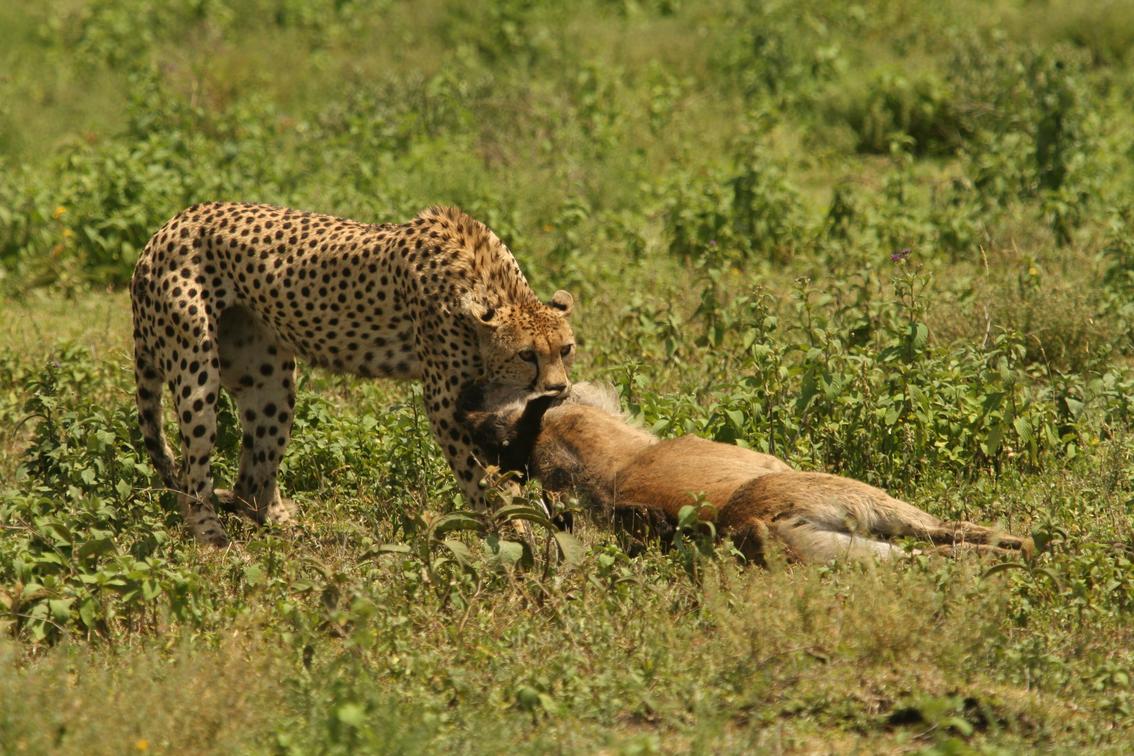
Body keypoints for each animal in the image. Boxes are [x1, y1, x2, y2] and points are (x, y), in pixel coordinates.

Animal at [130, 201, 575, 547]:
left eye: (566, 349)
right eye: (526, 355)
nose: (558, 389)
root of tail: (170, 224)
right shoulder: (446, 405)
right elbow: (481, 480)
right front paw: (510, 540)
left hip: (269, 381)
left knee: (250, 485)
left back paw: (293, 531)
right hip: (195, 370)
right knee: (192, 476)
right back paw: (214, 541)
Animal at [458, 381, 1034, 566]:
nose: (471, 413)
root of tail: (749, 523)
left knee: (935, 551)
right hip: (870, 505)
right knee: (952, 538)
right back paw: (1029, 548)